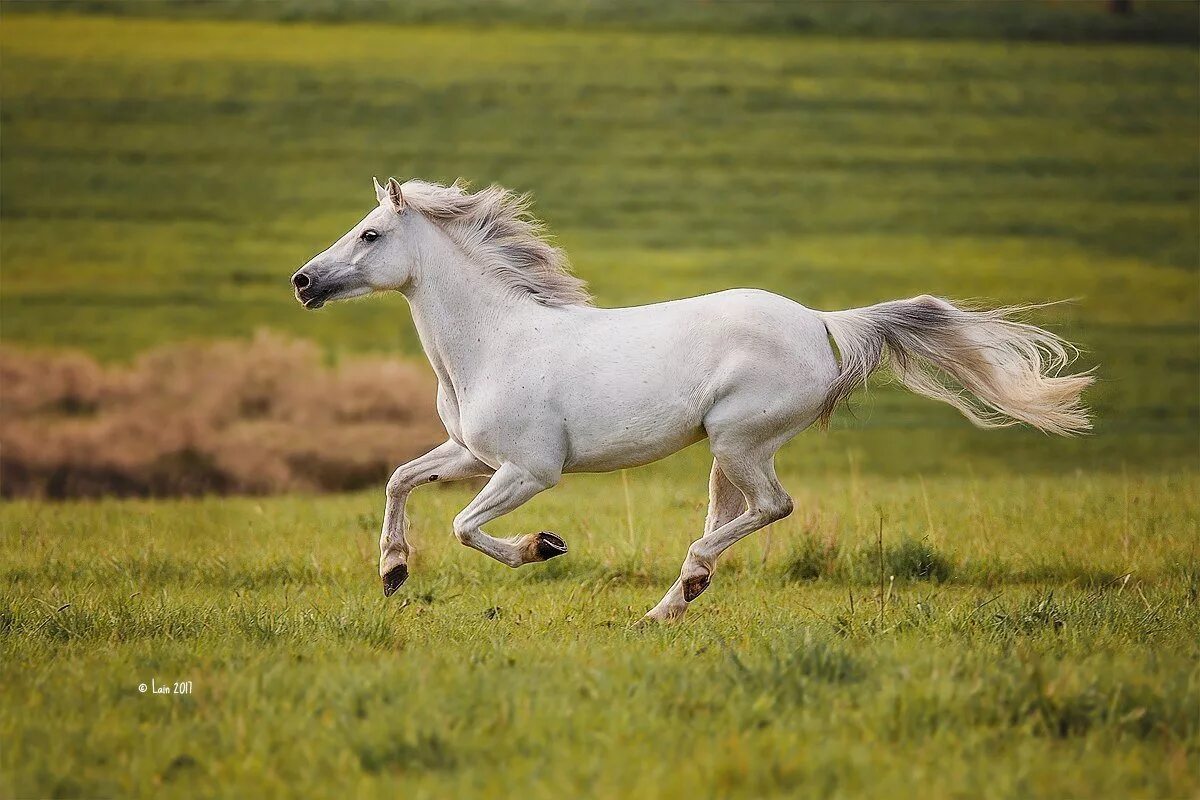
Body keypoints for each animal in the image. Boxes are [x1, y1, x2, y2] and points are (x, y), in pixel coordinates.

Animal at [292, 178, 1099, 623]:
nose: (303, 282)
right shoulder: (471, 454)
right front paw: (392, 572)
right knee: (738, 514)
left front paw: (542, 546)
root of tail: (825, 322)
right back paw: (670, 604)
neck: (496, 342)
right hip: (729, 448)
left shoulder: (528, 469)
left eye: (370, 233)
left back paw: (681, 583)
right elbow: (399, 479)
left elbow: (464, 526)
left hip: (739, 438)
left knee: (772, 507)